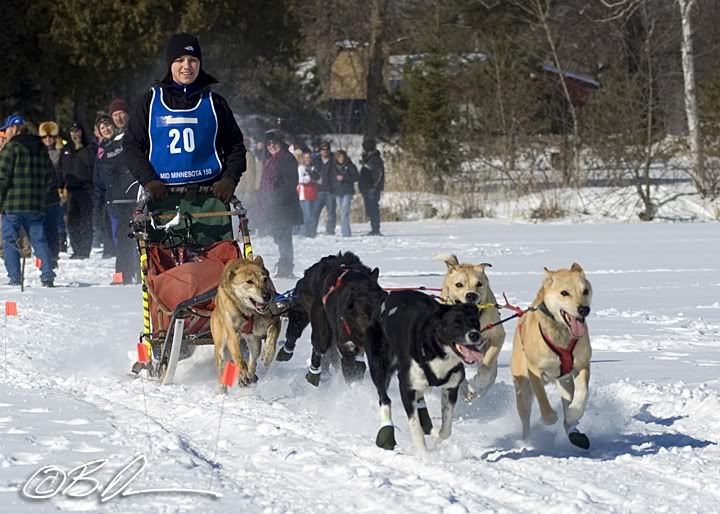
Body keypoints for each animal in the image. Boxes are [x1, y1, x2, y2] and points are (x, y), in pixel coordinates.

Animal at [210, 254, 280, 386]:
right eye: (249, 282)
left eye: (265, 279)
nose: (267, 296)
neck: (249, 312)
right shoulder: (232, 334)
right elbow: (238, 357)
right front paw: (243, 373)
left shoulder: (275, 319)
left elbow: (273, 333)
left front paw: (268, 354)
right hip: (221, 346)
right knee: (222, 367)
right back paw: (224, 387)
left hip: (254, 341)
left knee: (254, 357)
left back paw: (251, 373)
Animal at [366, 290, 484, 450]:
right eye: (456, 324)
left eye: (475, 322)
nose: (475, 335)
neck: (434, 349)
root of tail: (387, 296)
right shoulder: (406, 387)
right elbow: (415, 428)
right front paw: (423, 453)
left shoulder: (451, 387)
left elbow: (446, 430)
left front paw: (437, 436)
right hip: (378, 365)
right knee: (384, 398)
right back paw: (386, 430)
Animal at [434, 254, 506, 398]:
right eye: (458, 285)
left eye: (479, 284)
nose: (471, 295)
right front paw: (464, 388)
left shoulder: (497, 336)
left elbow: (488, 363)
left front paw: (479, 380)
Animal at [510, 262, 592, 446]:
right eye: (564, 293)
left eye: (585, 291)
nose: (584, 309)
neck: (561, 334)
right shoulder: (534, 371)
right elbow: (542, 399)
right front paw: (549, 418)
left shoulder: (582, 365)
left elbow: (582, 393)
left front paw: (574, 413)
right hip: (523, 390)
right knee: (525, 419)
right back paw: (526, 441)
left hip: (565, 382)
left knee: (568, 404)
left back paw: (573, 431)